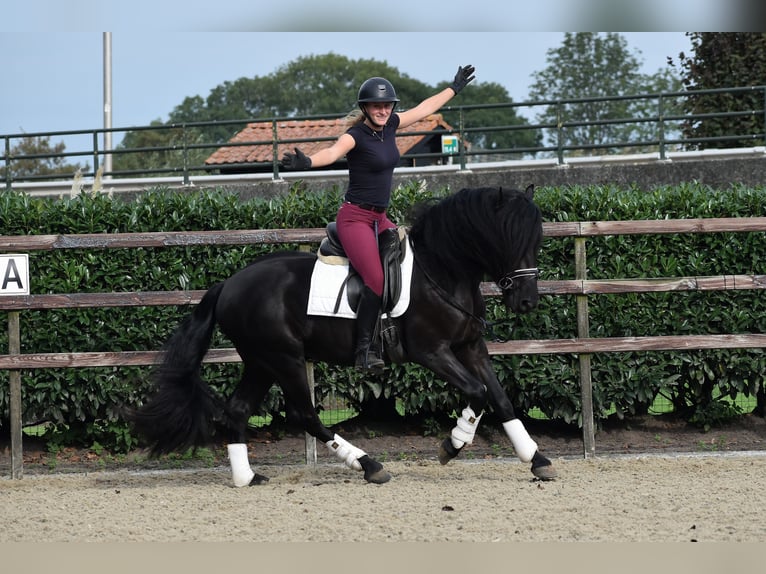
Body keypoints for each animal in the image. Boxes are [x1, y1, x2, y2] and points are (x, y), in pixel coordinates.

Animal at [127, 187, 560, 488]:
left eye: (536, 241)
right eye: (505, 239)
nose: (527, 301)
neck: (442, 271)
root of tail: (229, 284)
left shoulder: (470, 347)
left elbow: (500, 398)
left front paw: (537, 459)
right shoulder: (432, 352)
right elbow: (477, 393)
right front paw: (452, 446)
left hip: (261, 362)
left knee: (237, 411)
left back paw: (247, 478)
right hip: (284, 358)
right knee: (305, 415)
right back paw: (368, 465)